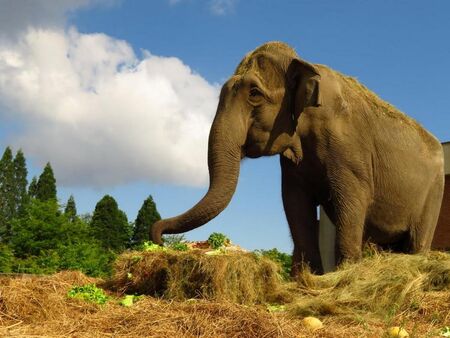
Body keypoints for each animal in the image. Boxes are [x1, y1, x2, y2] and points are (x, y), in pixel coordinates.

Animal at [150, 41, 442, 276]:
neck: (305, 63)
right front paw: (308, 280)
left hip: (433, 194)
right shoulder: (292, 162)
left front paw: (342, 279)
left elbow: (351, 202)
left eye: (254, 93)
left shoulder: (349, 149)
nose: (158, 239)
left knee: (417, 241)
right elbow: (295, 204)